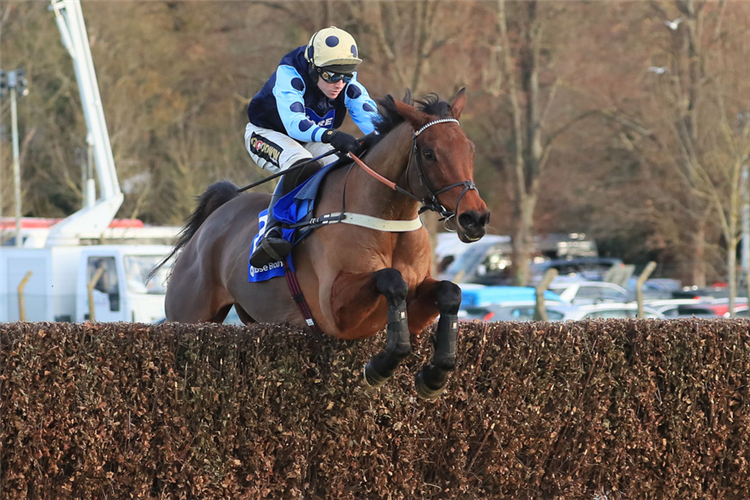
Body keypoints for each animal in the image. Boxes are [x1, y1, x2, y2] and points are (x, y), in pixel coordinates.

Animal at [160, 89, 488, 398]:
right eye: (430, 153)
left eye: (470, 150)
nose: (475, 217)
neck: (385, 218)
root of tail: (218, 214)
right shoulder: (336, 312)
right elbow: (392, 280)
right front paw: (379, 367)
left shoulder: (417, 304)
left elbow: (450, 292)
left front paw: (435, 374)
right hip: (189, 318)